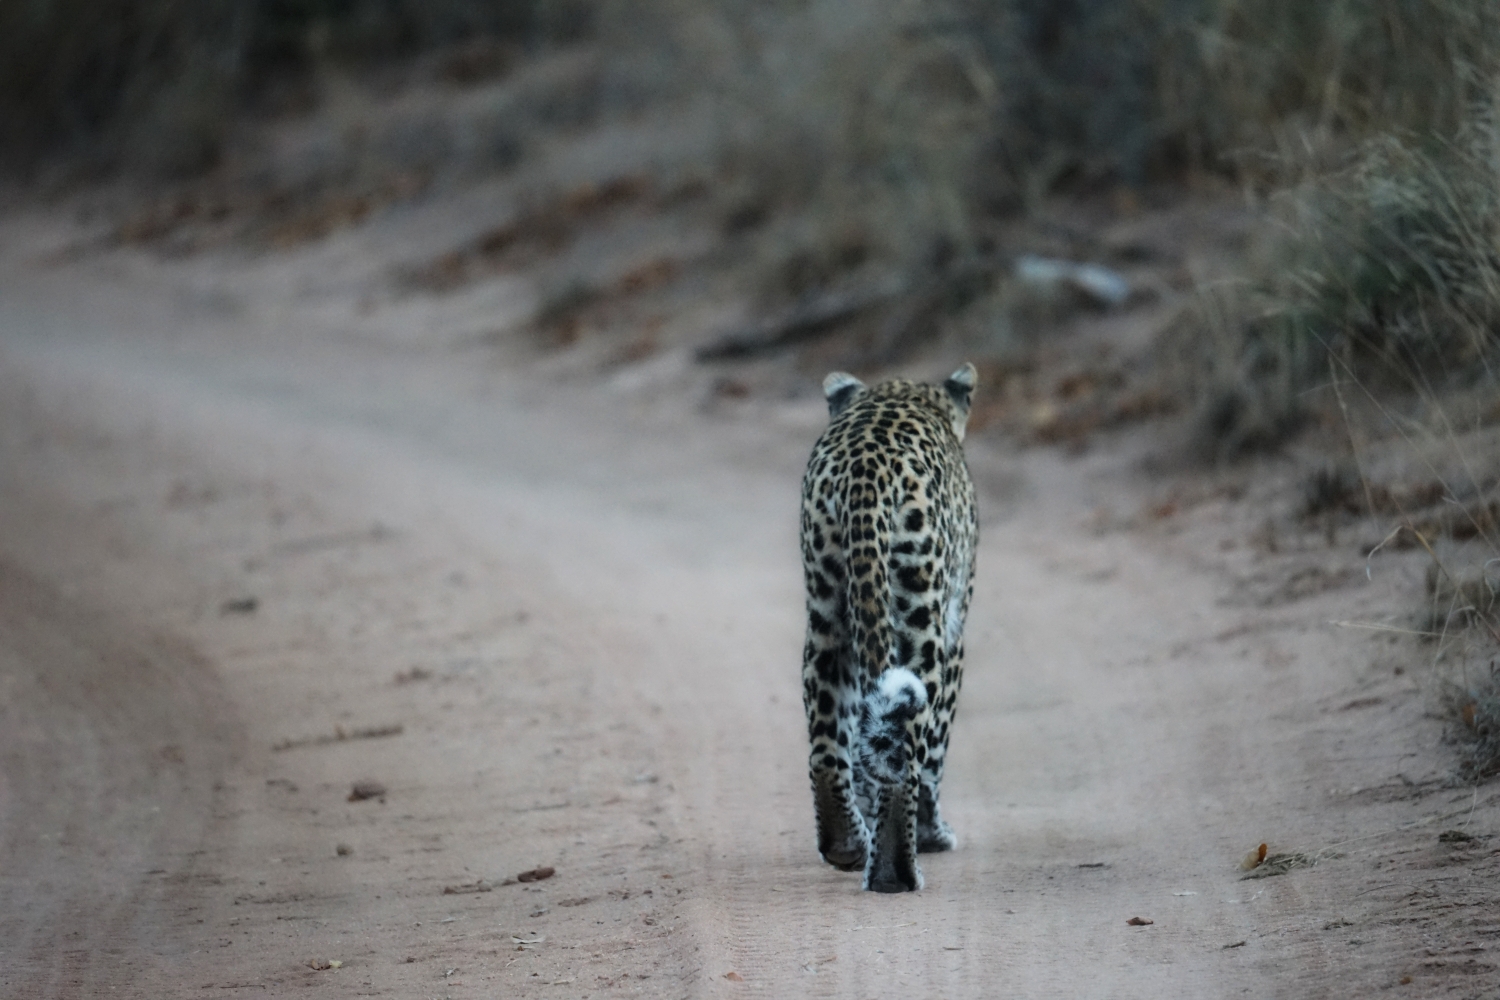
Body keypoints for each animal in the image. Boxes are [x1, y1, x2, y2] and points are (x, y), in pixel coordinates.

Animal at [798, 364, 984, 893]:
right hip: (921, 622)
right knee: (909, 746)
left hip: (827, 615)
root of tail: (865, 467)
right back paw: (896, 869)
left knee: (826, 748)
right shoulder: (955, 634)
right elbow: (936, 749)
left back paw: (847, 844)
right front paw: (933, 832)